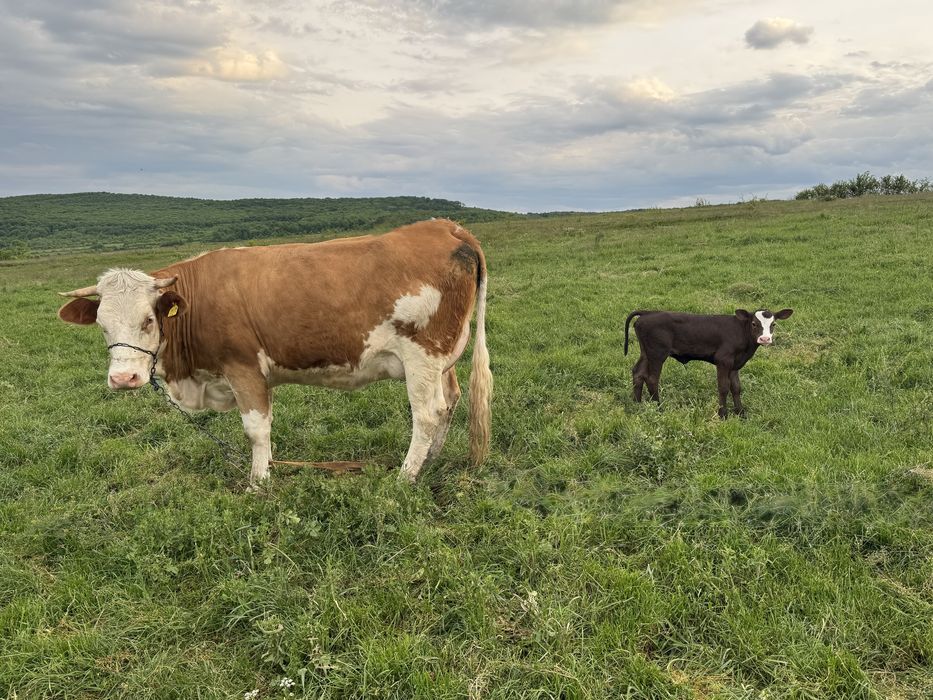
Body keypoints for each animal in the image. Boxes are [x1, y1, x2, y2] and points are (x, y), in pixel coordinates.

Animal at [57, 218, 492, 487]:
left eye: (149, 319)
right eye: (102, 324)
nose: (123, 378)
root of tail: (446, 227)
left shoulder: (242, 366)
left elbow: (255, 429)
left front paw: (258, 483)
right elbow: (265, 427)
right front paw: (266, 468)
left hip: (421, 356)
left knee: (427, 415)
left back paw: (405, 476)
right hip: (442, 360)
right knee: (449, 403)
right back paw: (429, 463)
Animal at [624, 308, 793, 418]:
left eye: (773, 324)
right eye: (754, 323)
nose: (765, 339)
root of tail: (649, 312)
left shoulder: (735, 364)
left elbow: (736, 387)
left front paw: (741, 413)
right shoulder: (723, 360)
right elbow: (723, 387)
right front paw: (723, 414)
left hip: (646, 352)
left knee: (638, 372)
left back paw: (636, 404)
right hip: (657, 354)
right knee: (652, 379)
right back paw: (658, 408)